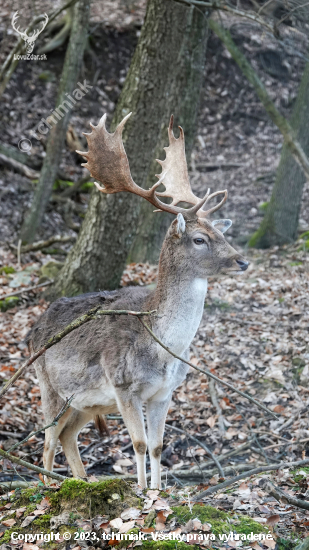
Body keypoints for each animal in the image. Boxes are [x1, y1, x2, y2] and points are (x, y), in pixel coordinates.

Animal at [27, 111, 248, 488]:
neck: (161, 348)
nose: (242, 261)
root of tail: (32, 330)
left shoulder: (164, 392)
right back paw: (49, 487)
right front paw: (143, 493)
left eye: (222, 233)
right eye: (200, 239)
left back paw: (82, 482)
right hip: (50, 387)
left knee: (68, 437)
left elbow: (158, 446)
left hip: (89, 403)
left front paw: (157, 492)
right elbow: (139, 443)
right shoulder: (124, 385)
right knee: (47, 442)